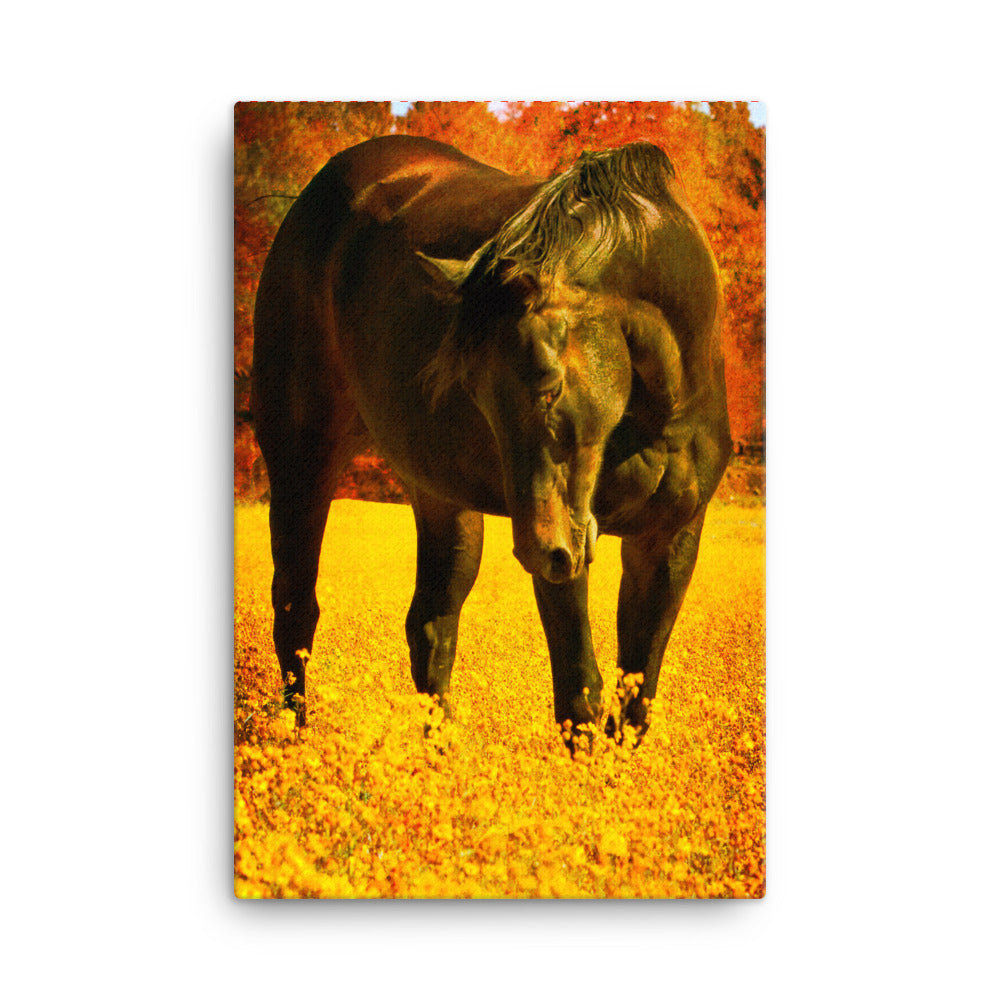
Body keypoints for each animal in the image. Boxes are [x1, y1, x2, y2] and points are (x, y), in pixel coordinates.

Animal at [251, 135, 731, 748]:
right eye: (473, 389)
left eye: (550, 383)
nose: (538, 552)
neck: (662, 408)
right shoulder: (570, 545)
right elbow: (581, 692)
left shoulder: (669, 539)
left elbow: (636, 698)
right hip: (301, 460)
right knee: (296, 608)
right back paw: (295, 739)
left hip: (442, 498)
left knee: (430, 626)